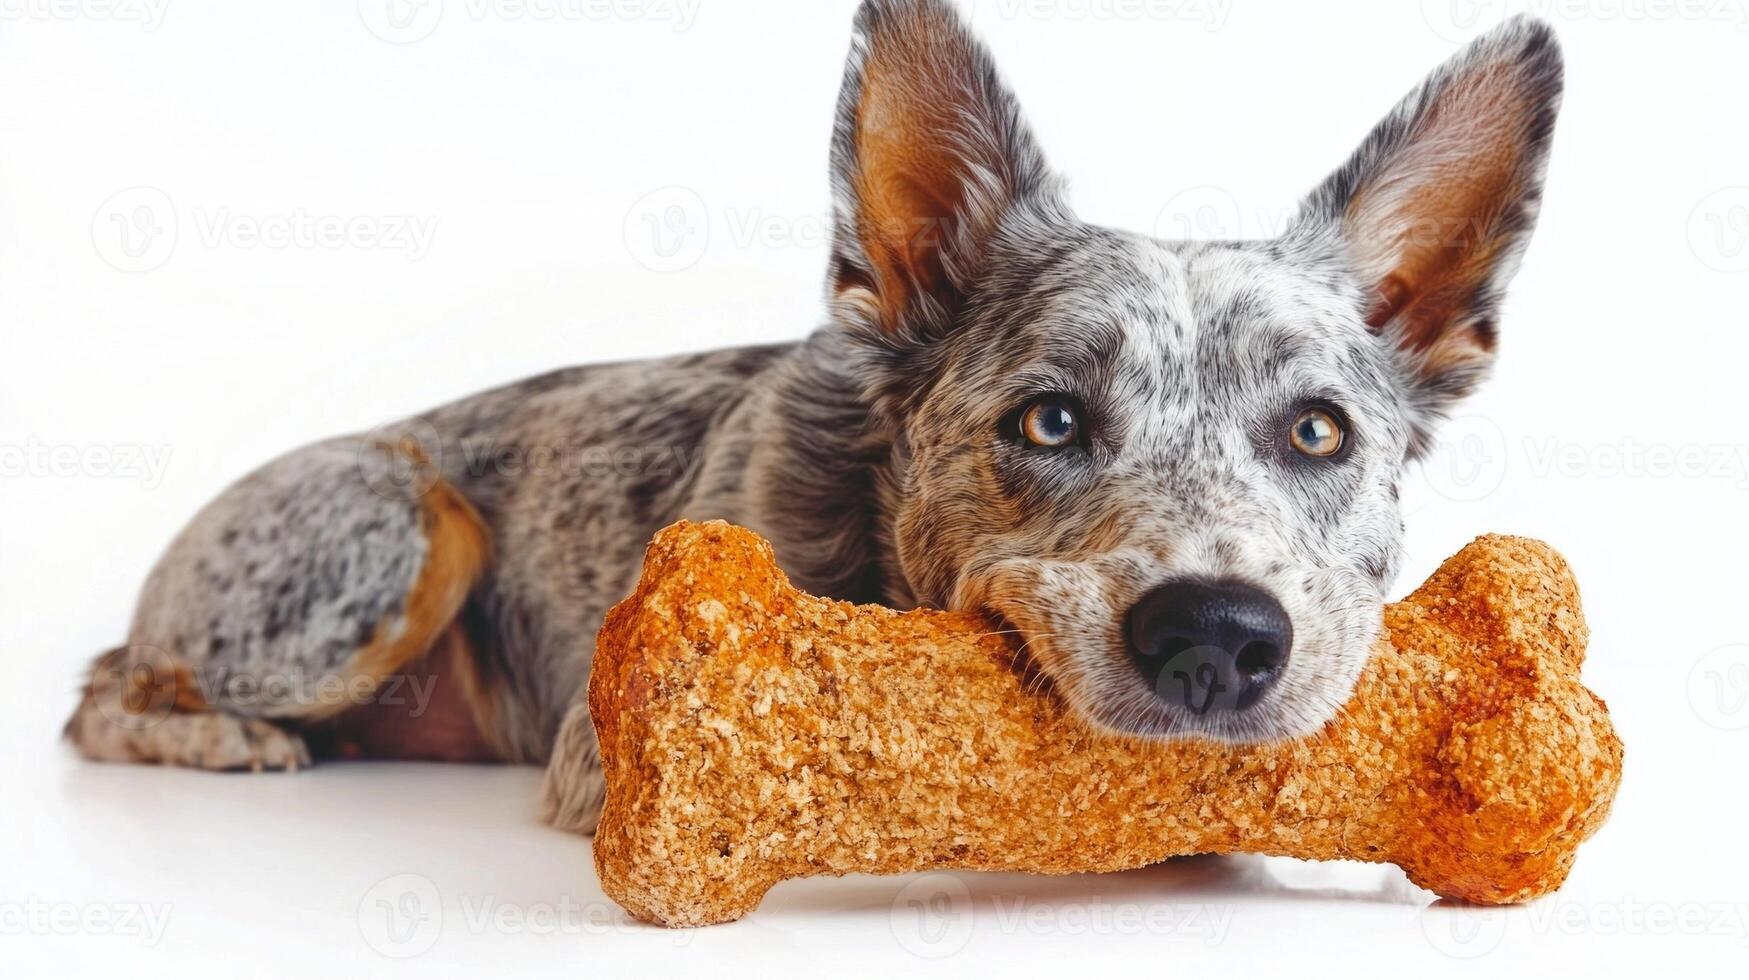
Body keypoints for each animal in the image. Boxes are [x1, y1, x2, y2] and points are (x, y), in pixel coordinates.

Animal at [68, 0, 1567, 833]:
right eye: (1049, 421)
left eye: (1318, 431)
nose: (1215, 634)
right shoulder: (599, 757)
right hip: (397, 531)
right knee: (102, 697)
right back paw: (224, 735)